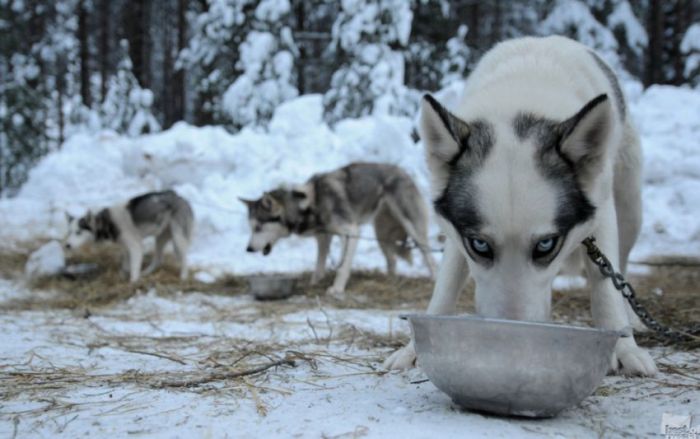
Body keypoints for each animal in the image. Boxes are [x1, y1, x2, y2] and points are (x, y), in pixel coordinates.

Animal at [65, 189, 194, 282]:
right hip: (160, 238)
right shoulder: (126, 248)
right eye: (69, 232)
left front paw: (133, 282)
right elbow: (126, 265)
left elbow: (133, 267)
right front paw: (124, 275)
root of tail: (182, 198)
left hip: (177, 238)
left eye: (78, 232)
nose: (67, 245)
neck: (107, 222)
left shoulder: (135, 247)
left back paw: (183, 277)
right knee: (158, 259)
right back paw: (146, 272)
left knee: (184, 259)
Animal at [241, 162, 438, 296]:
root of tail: (402, 170)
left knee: (428, 255)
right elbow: (319, 265)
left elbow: (342, 266)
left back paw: (434, 279)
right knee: (392, 260)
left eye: (258, 227)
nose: (248, 249)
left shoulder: (350, 232)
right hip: (381, 234)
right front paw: (315, 282)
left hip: (412, 228)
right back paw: (391, 280)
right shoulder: (324, 237)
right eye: (251, 228)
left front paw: (337, 288)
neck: (311, 204)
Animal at [382, 36, 656, 376]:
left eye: (546, 245)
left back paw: (630, 319)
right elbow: (445, 286)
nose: (510, 337)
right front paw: (413, 348)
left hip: (629, 208)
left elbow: (605, 285)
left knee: (621, 268)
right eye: (480, 245)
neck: (520, 107)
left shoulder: (601, 212)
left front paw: (625, 346)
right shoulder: (458, 233)